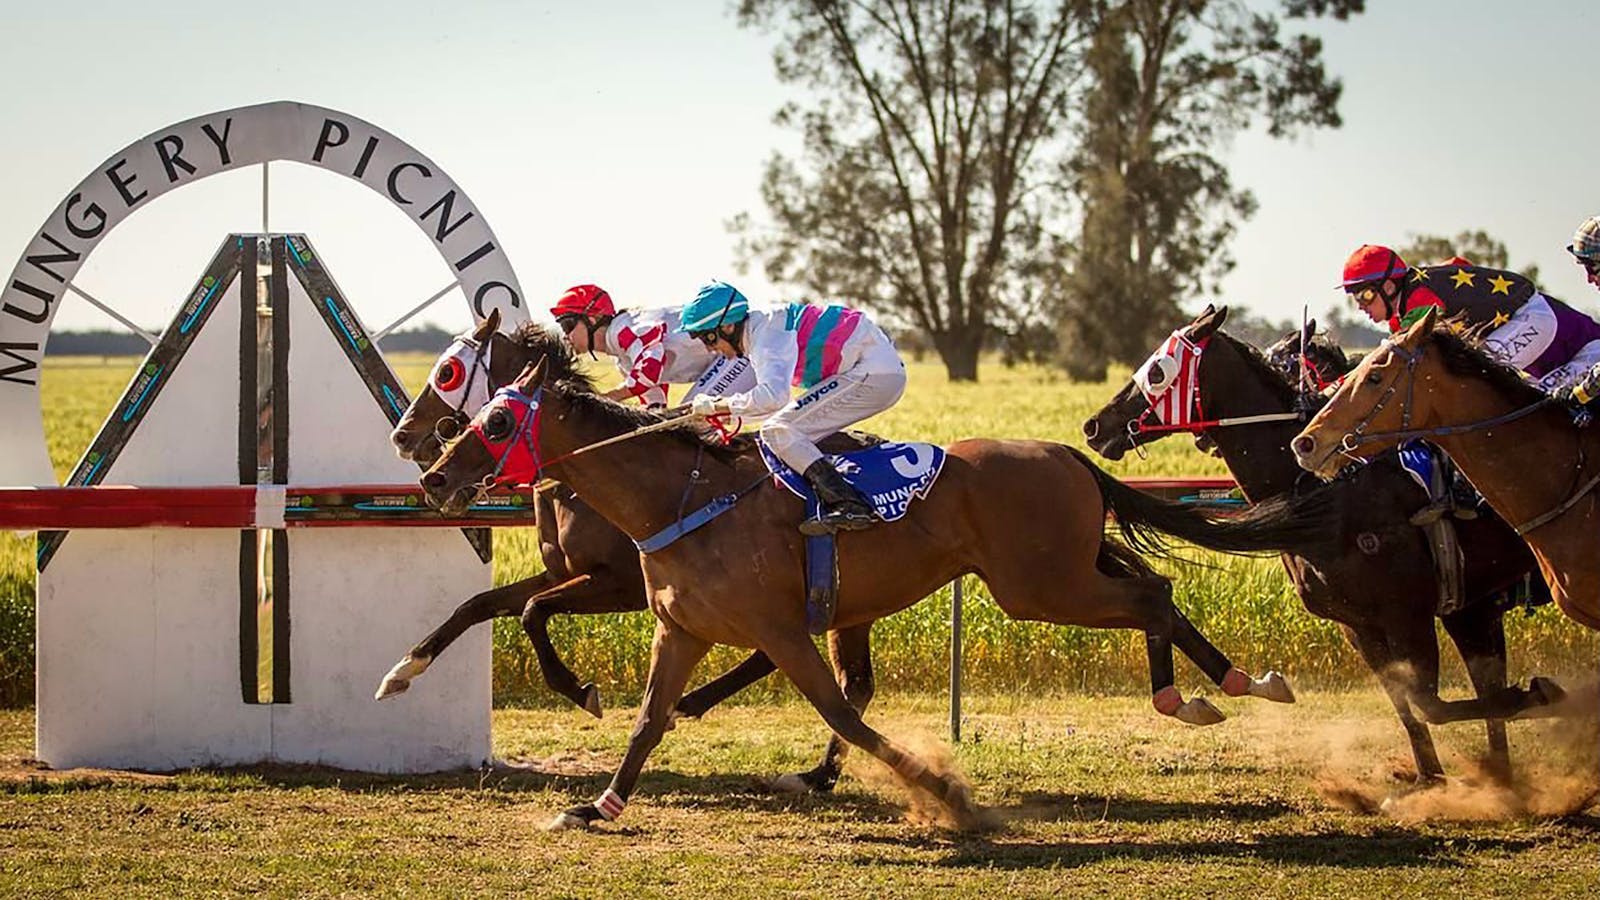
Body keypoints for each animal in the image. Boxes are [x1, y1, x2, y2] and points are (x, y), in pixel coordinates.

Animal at [416, 344, 1337, 826]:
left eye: (494, 416)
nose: (432, 474)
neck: (682, 496)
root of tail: (1064, 452)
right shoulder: (679, 627)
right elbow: (647, 720)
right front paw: (599, 805)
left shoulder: (778, 629)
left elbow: (842, 715)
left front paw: (945, 793)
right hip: (1060, 571)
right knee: (1159, 588)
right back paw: (1235, 682)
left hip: (1043, 587)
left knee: (1150, 598)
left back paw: (1191, 696)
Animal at [1081, 302, 1555, 778]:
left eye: (1157, 371)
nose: (1094, 426)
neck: (1333, 492)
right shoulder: (1364, 625)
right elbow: (1412, 706)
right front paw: (1437, 777)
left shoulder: (1413, 614)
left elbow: (1436, 702)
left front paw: (1539, 696)